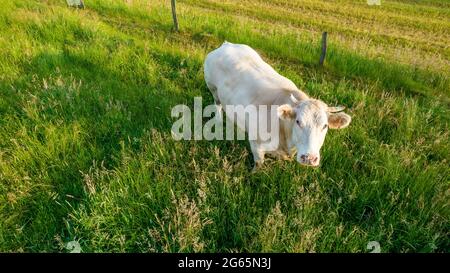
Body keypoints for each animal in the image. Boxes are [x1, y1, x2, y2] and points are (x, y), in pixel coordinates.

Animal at [204, 41, 352, 167]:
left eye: (325, 126)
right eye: (298, 121)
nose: (309, 158)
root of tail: (226, 45)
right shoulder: (257, 145)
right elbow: (258, 164)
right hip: (212, 88)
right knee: (217, 104)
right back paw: (218, 121)